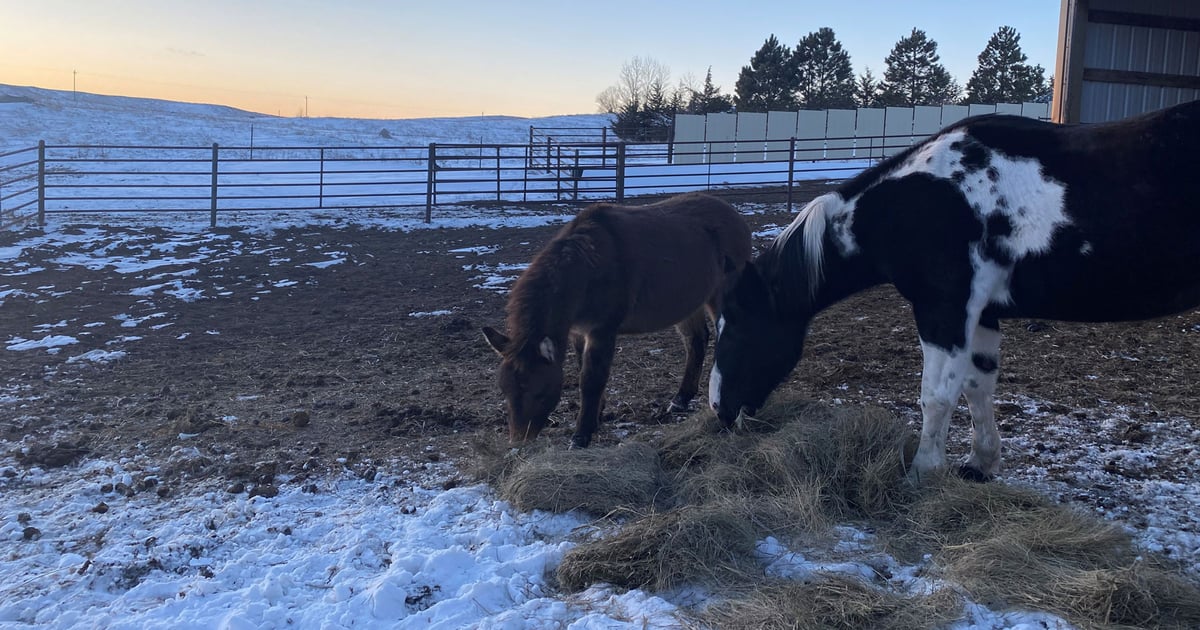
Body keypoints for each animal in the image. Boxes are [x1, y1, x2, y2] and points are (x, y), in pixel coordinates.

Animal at [483, 192, 752, 448]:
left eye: (540, 392)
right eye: (504, 390)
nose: (519, 439)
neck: (589, 266)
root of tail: (735, 217)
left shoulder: (602, 330)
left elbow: (591, 379)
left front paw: (581, 435)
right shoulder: (579, 332)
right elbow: (583, 371)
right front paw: (597, 415)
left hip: (720, 295)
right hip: (690, 301)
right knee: (695, 341)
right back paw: (681, 399)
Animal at [708, 99, 1200, 482]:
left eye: (736, 330)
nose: (718, 409)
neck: (924, 202)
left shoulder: (943, 309)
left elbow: (937, 396)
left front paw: (923, 472)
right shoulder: (982, 314)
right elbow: (977, 387)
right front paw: (980, 464)